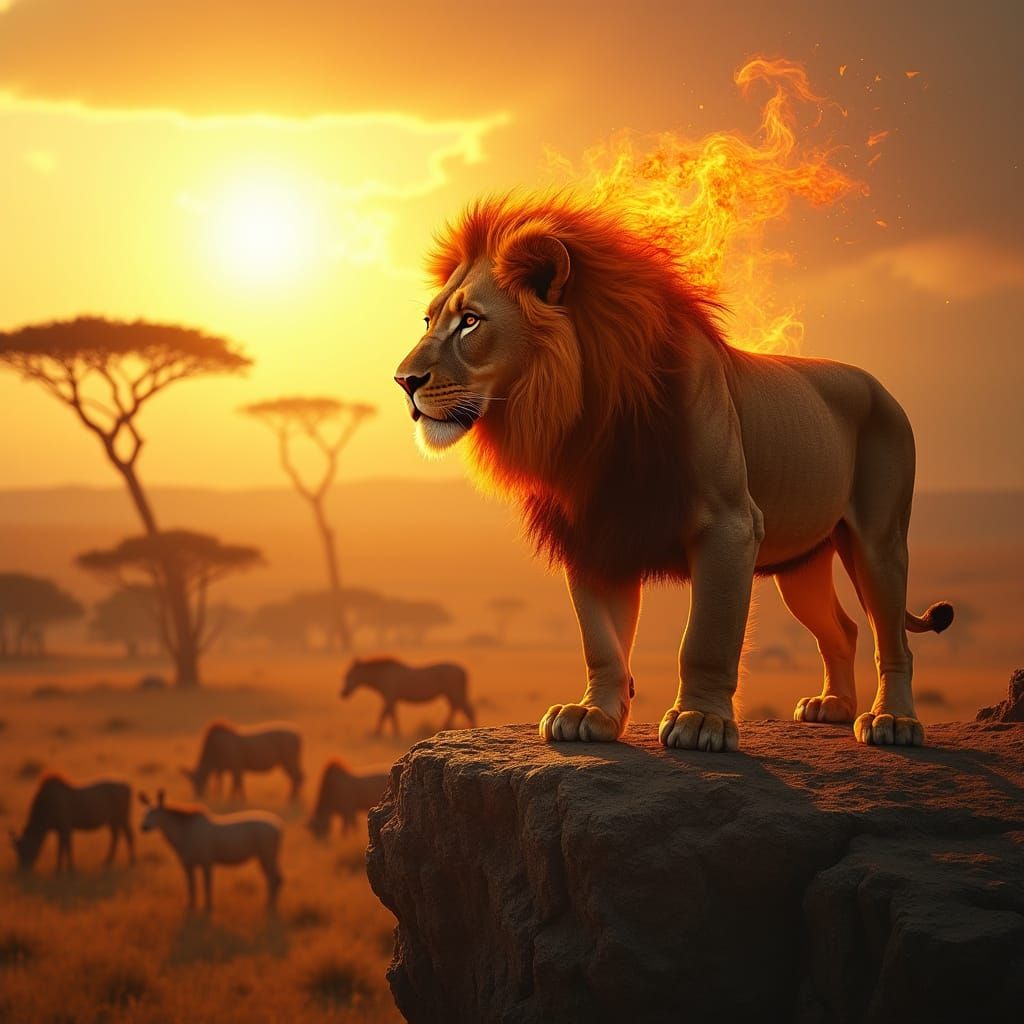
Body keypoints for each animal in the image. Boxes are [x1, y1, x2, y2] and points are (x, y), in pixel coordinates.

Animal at [395, 193, 953, 752]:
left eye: (470, 321)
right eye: (427, 321)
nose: (403, 381)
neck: (587, 416)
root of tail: (876, 383)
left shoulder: (731, 525)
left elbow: (706, 637)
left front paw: (701, 720)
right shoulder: (593, 532)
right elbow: (601, 640)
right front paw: (591, 714)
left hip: (878, 541)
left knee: (892, 638)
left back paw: (892, 721)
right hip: (802, 563)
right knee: (843, 628)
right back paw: (832, 707)